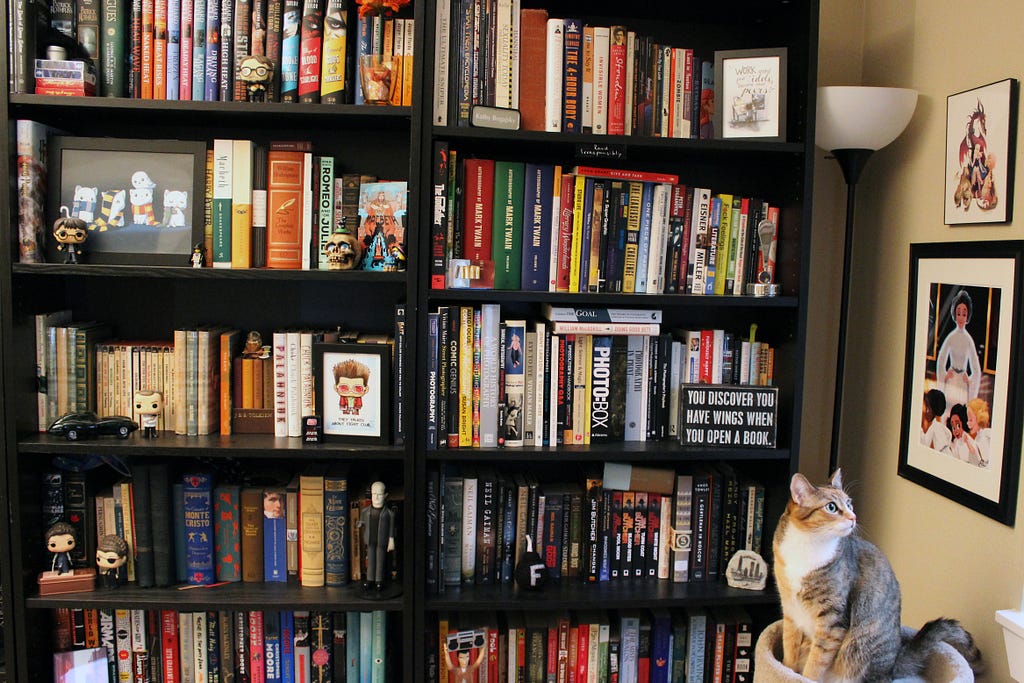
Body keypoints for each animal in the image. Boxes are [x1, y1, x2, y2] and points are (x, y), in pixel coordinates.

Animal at [770, 471, 978, 683]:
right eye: (831, 507)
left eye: (849, 503)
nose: (853, 517)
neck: (808, 544)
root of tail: (892, 666)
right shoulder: (790, 610)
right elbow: (789, 648)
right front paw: (785, 671)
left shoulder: (832, 620)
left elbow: (816, 661)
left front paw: (805, 678)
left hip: (859, 652)